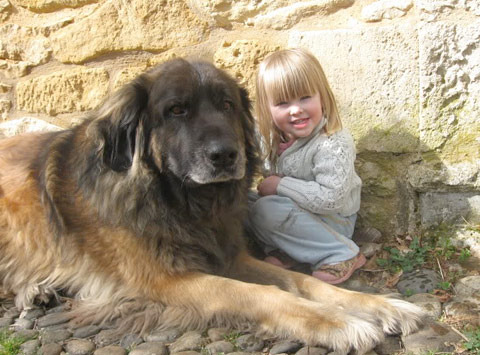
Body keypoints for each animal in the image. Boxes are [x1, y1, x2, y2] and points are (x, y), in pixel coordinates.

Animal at [0, 59, 422, 354]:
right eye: (176, 110)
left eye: (227, 105)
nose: (226, 156)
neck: (182, 203)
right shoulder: (163, 280)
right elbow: (261, 294)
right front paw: (336, 323)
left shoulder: (228, 256)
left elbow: (303, 282)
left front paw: (381, 305)